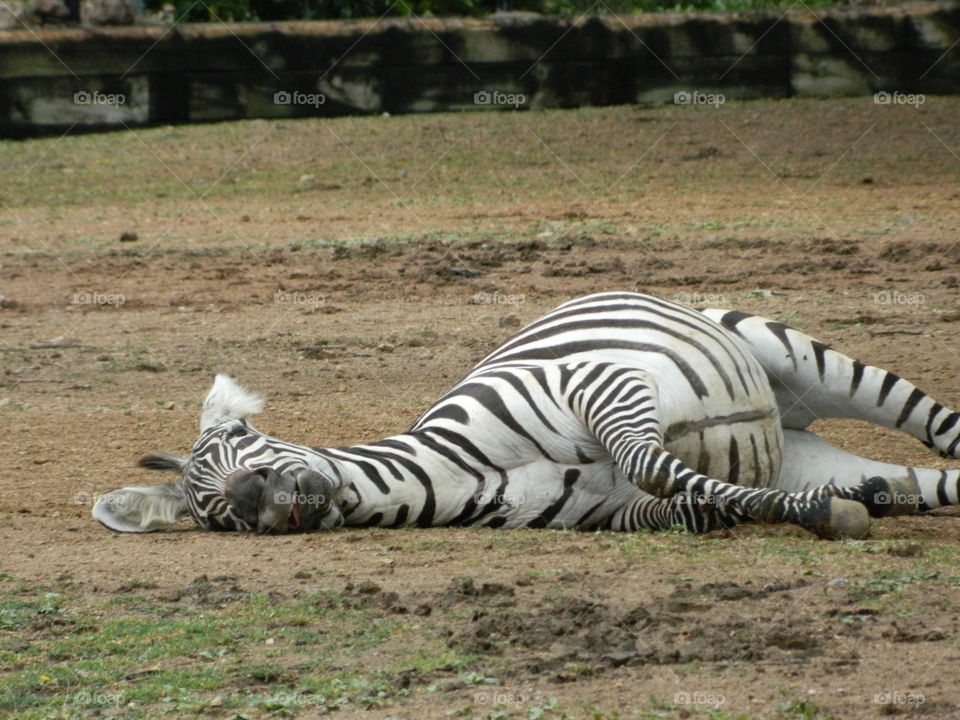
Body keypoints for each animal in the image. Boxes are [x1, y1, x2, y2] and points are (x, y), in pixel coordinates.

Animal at [93, 291, 960, 539]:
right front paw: (812, 510)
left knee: (935, 425)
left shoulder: (599, 383)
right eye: (216, 516)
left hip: (797, 359)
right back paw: (868, 493)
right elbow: (679, 508)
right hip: (817, 449)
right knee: (918, 482)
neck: (449, 469)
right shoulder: (607, 517)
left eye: (241, 437)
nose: (254, 497)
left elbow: (650, 460)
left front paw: (819, 515)